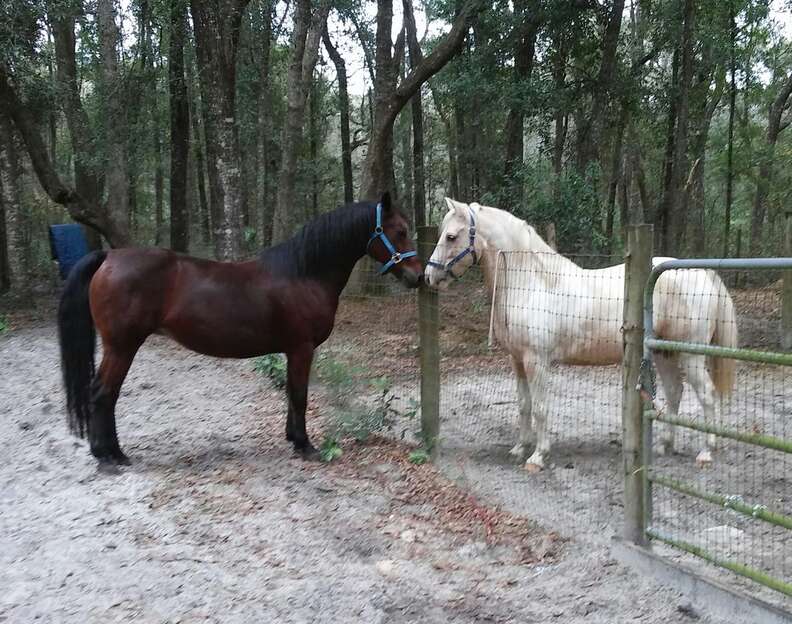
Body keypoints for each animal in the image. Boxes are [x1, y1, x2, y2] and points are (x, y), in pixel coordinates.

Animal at [58, 193, 423, 468]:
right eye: (400, 230)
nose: (418, 276)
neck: (304, 273)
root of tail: (109, 257)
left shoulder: (291, 350)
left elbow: (291, 393)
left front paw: (292, 438)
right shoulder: (302, 348)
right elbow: (300, 395)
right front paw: (305, 446)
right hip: (122, 346)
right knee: (104, 394)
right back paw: (110, 456)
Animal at [425, 198, 737, 471]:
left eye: (451, 237)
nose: (429, 277)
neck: (532, 283)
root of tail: (701, 272)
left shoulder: (536, 361)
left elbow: (540, 407)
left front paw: (538, 456)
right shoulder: (517, 360)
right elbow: (524, 405)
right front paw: (519, 448)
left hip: (690, 355)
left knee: (707, 395)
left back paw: (706, 451)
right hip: (664, 352)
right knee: (675, 392)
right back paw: (664, 445)